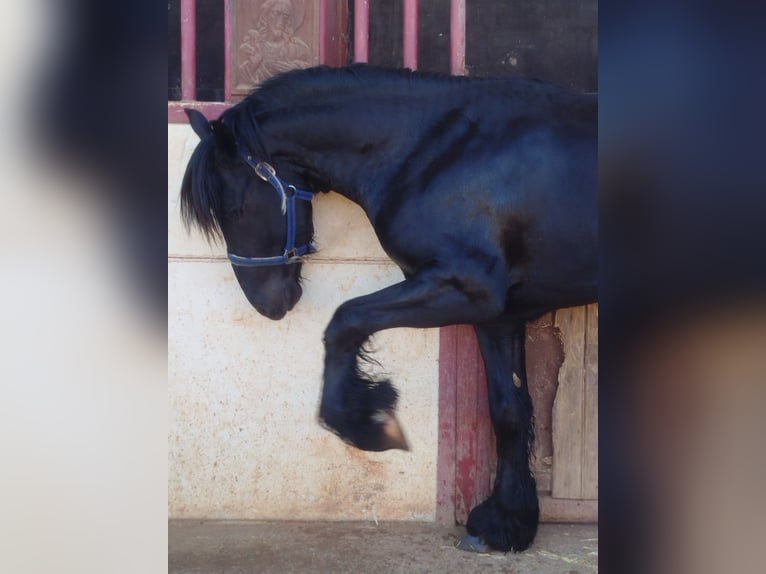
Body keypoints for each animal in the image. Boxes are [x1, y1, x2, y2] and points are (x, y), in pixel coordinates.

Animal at [180, 64, 597, 553]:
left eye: (236, 208)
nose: (268, 305)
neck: (435, 152)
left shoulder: (464, 286)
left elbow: (345, 321)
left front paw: (367, 422)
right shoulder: (497, 316)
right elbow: (509, 410)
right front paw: (505, 523)